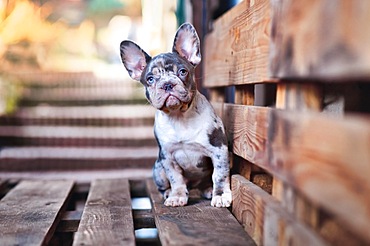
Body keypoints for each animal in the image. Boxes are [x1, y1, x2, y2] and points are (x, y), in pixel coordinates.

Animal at [120, 23, 231, 208]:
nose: (167, 84)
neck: (179, 116)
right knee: (166, 185)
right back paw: (168, 193)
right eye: (150, 79)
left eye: (182, 71)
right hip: (158, 168)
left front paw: (221, 195)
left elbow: (220, 175)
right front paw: (177, 196)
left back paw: (209, 189)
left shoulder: (218, 150)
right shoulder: (167, 157)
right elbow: (176, 179)